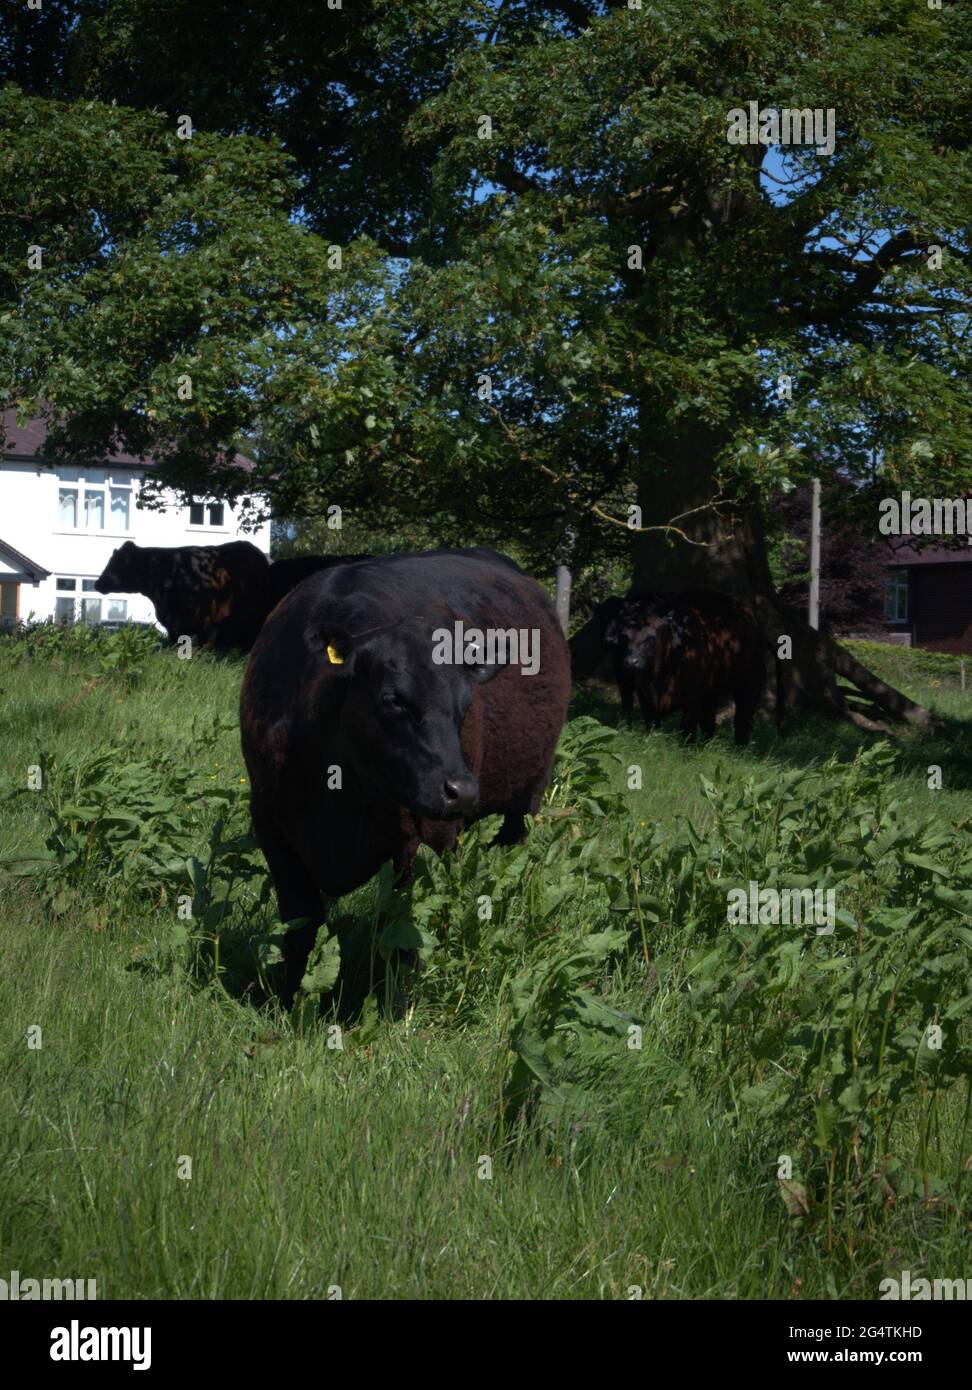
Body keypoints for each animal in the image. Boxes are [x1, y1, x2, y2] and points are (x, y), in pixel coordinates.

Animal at [239, 544, 570, 1011]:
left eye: (465, 704)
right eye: (394, 699)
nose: (462, 790)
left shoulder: (422, 837)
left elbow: (403, 928)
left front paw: (396, 1005)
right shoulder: (271, 823)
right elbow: (300, 925)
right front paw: (291, 1001)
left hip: (525, 798)